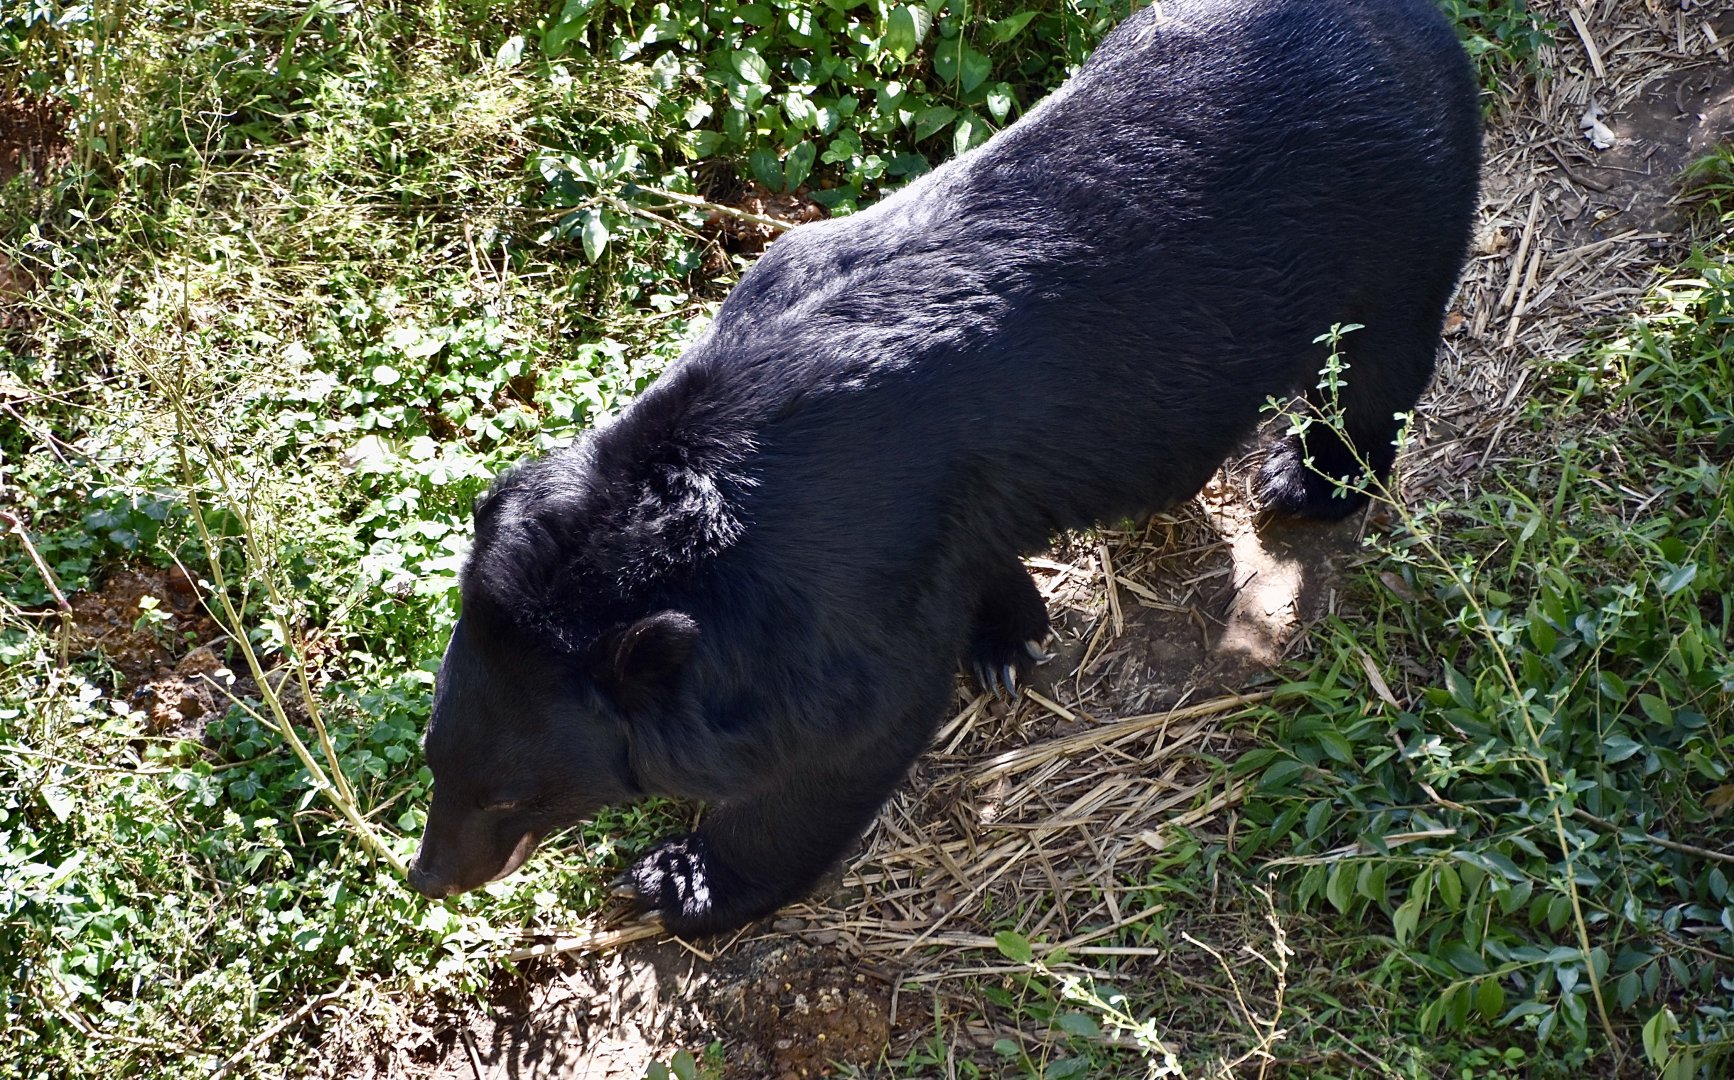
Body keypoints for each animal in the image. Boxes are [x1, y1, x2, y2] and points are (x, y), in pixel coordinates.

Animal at [407, 0, 1481, 936]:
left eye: (514, 797)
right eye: (433, 759)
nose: (432, 877)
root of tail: (1421, 25)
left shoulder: (841, 585)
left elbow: (850, 736)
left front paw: (683, 879)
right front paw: (1006, 634)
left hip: (1398, 220)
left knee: (1376, 370)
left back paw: (1306, 481)